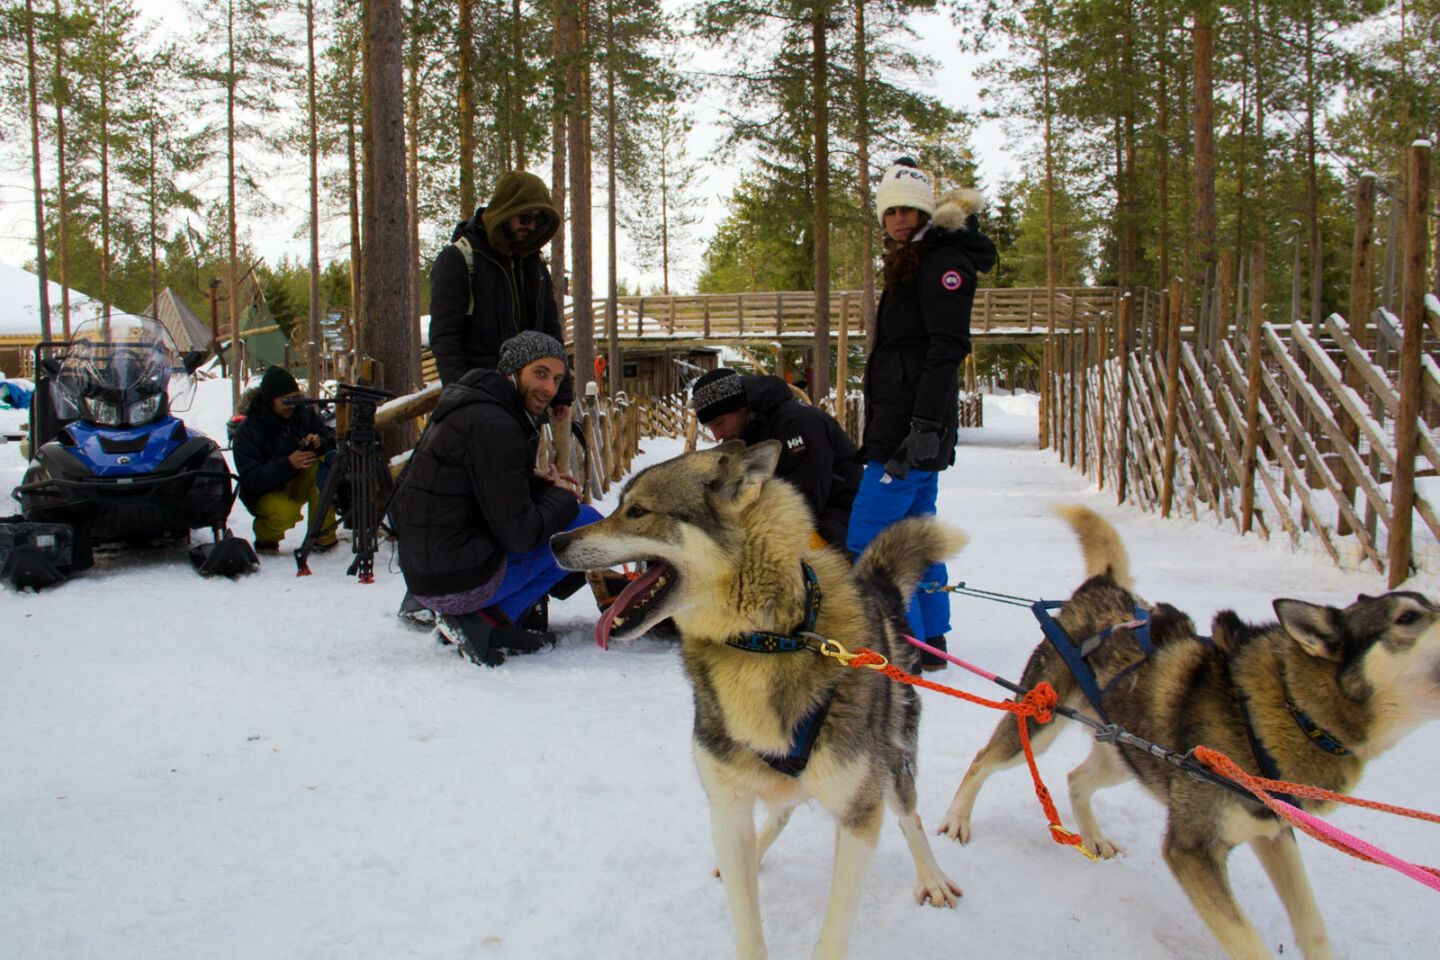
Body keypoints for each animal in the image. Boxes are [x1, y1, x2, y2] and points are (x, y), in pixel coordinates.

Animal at [550, 440, 967, 960]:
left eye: (638, 511)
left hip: (892, 764)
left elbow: (833, 935)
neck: (768, 641)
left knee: (909, 814)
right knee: (782, 809)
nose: (554, 541)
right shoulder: (727, 805)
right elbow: (748, 922)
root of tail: (878, 590)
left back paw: (932, 877)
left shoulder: (858, 815)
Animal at [933, 506, 1440, 955]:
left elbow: (1312, 928)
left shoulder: (1273, 832)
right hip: (1040, 722)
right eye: (1407, 618)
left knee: (1077, 779)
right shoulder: (1192, 850)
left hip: (1131, 756)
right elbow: (1247, 941)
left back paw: (1093, 836)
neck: (1290, 707)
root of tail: (1102, 587)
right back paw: (957, 820)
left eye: (1429, 606)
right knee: (984, 759)